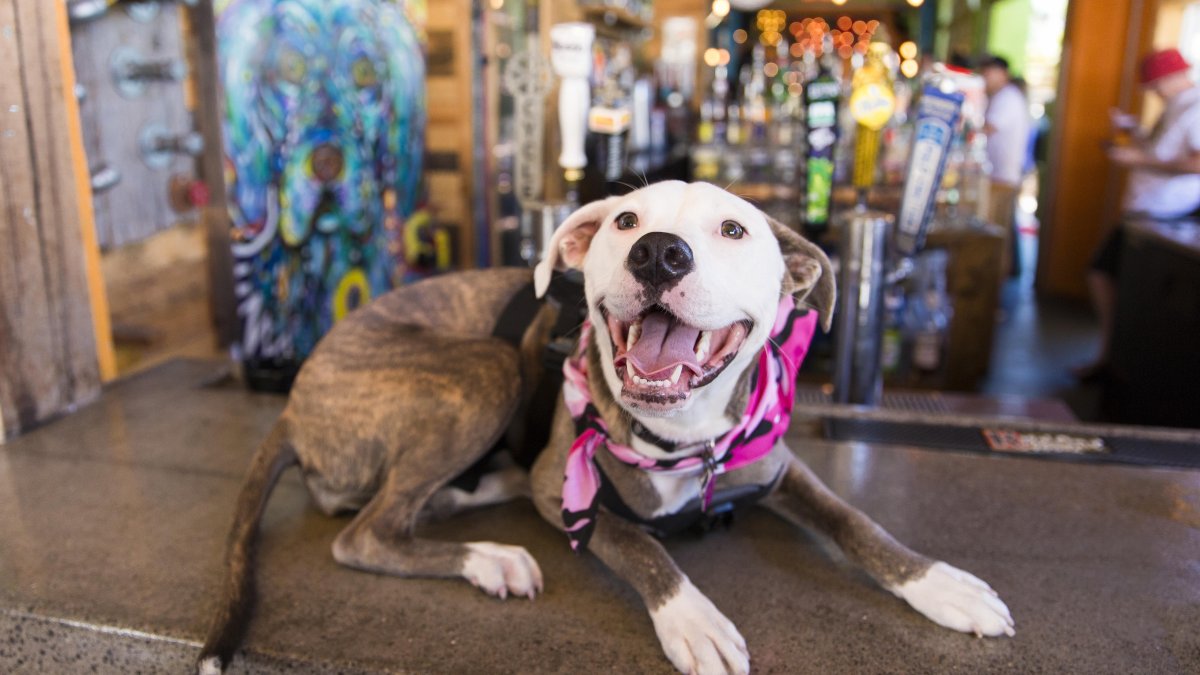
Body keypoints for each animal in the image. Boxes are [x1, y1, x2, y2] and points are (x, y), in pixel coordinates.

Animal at [196, 178, 1012, 672]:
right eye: (625, 220)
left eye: (734, 229)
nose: (658, 252)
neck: (684, 438)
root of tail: (295, 397)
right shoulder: (565, 488)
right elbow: (639, 544)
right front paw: (692, 617)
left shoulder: (780, 466)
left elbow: (855, 522)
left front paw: (941, 584)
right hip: (487, 367)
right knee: (364, 531)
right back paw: (490, 557)